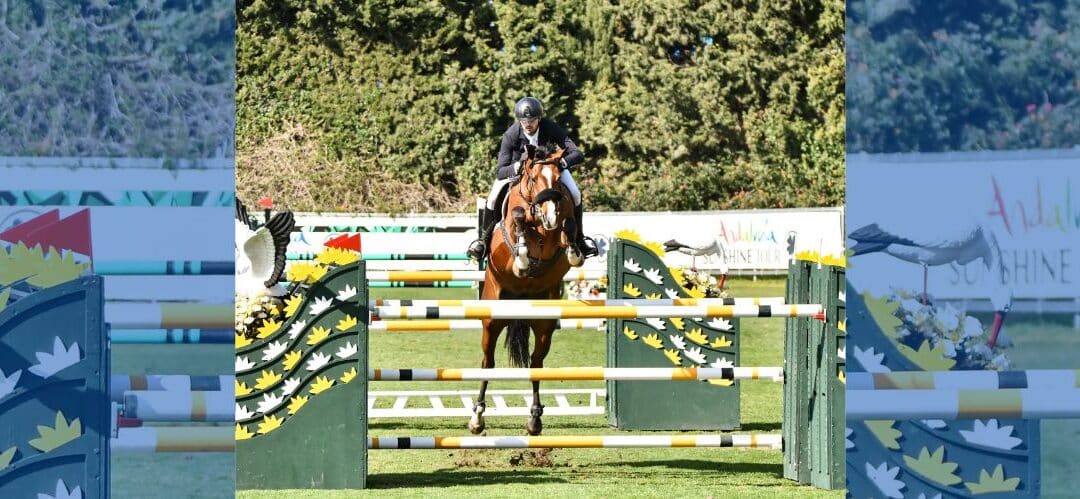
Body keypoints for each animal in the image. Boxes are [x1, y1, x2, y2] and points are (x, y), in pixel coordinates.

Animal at [466, 142, 583, 434]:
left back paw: (534, 418)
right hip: (492, 321)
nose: (550, 217)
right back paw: (477, 418)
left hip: (544, 325)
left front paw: (575, 250)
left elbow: (569, 224)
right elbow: (518, 219)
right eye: (532, 178)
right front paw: (521, 259)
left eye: (558, 179)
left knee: (536, 363)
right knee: (488, 363)